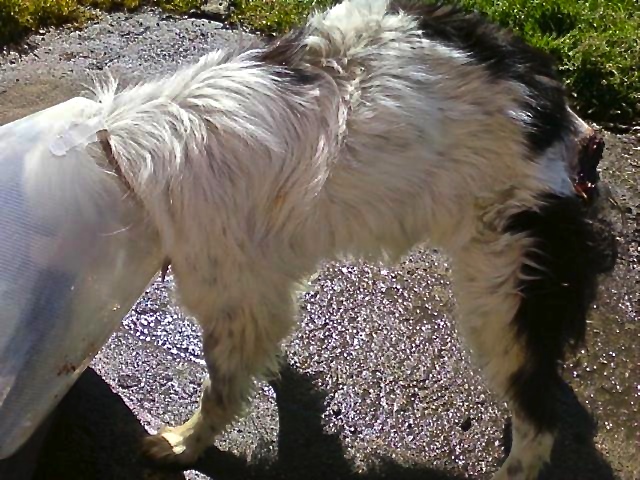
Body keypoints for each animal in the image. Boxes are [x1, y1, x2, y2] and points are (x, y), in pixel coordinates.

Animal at [90, 1, 616, 478]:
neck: (119, 167)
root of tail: (560, 117)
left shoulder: (234, 296)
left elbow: (219, 389)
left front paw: (185, 444)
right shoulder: (264, 287)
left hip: (502, 291)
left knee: (537, 417)